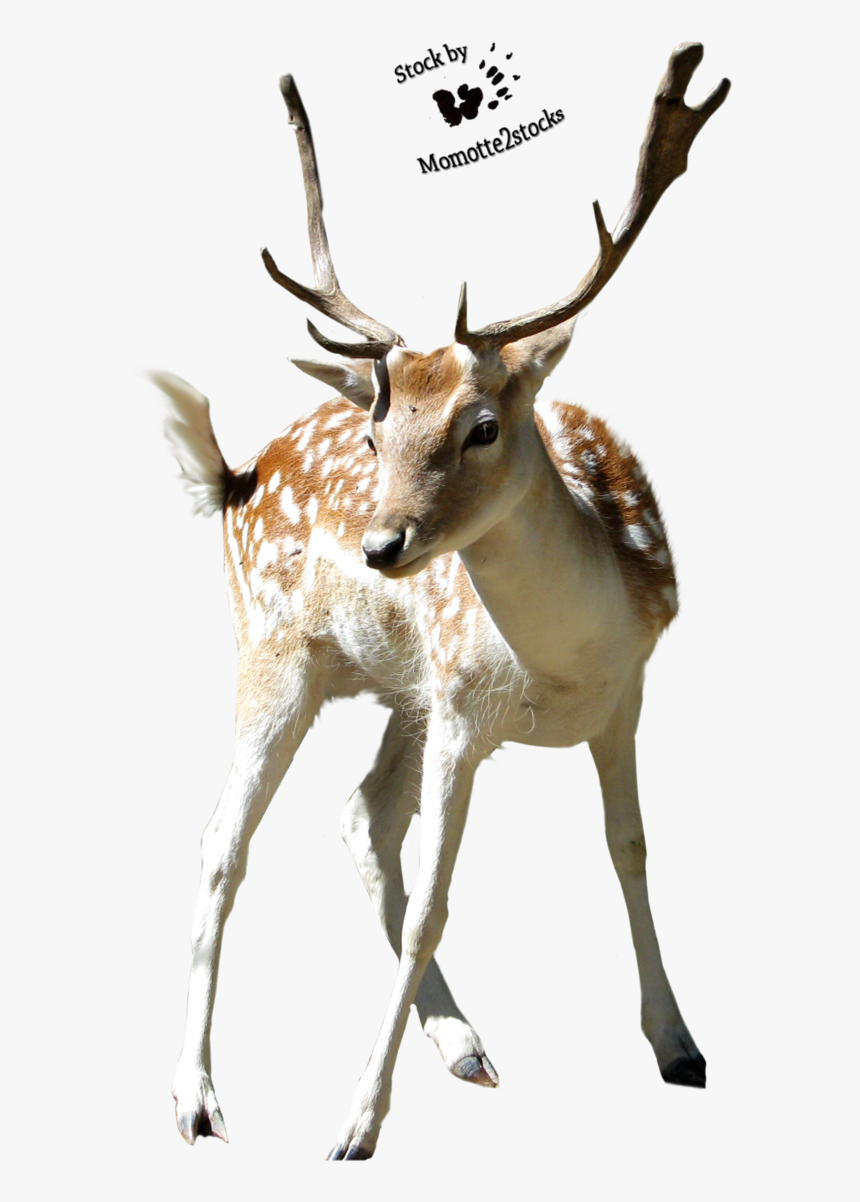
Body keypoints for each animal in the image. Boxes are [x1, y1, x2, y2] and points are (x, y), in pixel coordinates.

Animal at [154, 43, 730, 1160]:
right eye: (377, 433)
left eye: (481, 426)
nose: (381, 544)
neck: (561, 663)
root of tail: (238, 474)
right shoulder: (464, 712)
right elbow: (433, 903)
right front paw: (354, 1123)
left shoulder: (623, 694)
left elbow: (630, 848)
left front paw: (679, 1044)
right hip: (277, 654)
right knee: (222, 842)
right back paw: (196, 1099)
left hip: (398, 690)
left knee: (357, 817)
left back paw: (462, 1042)